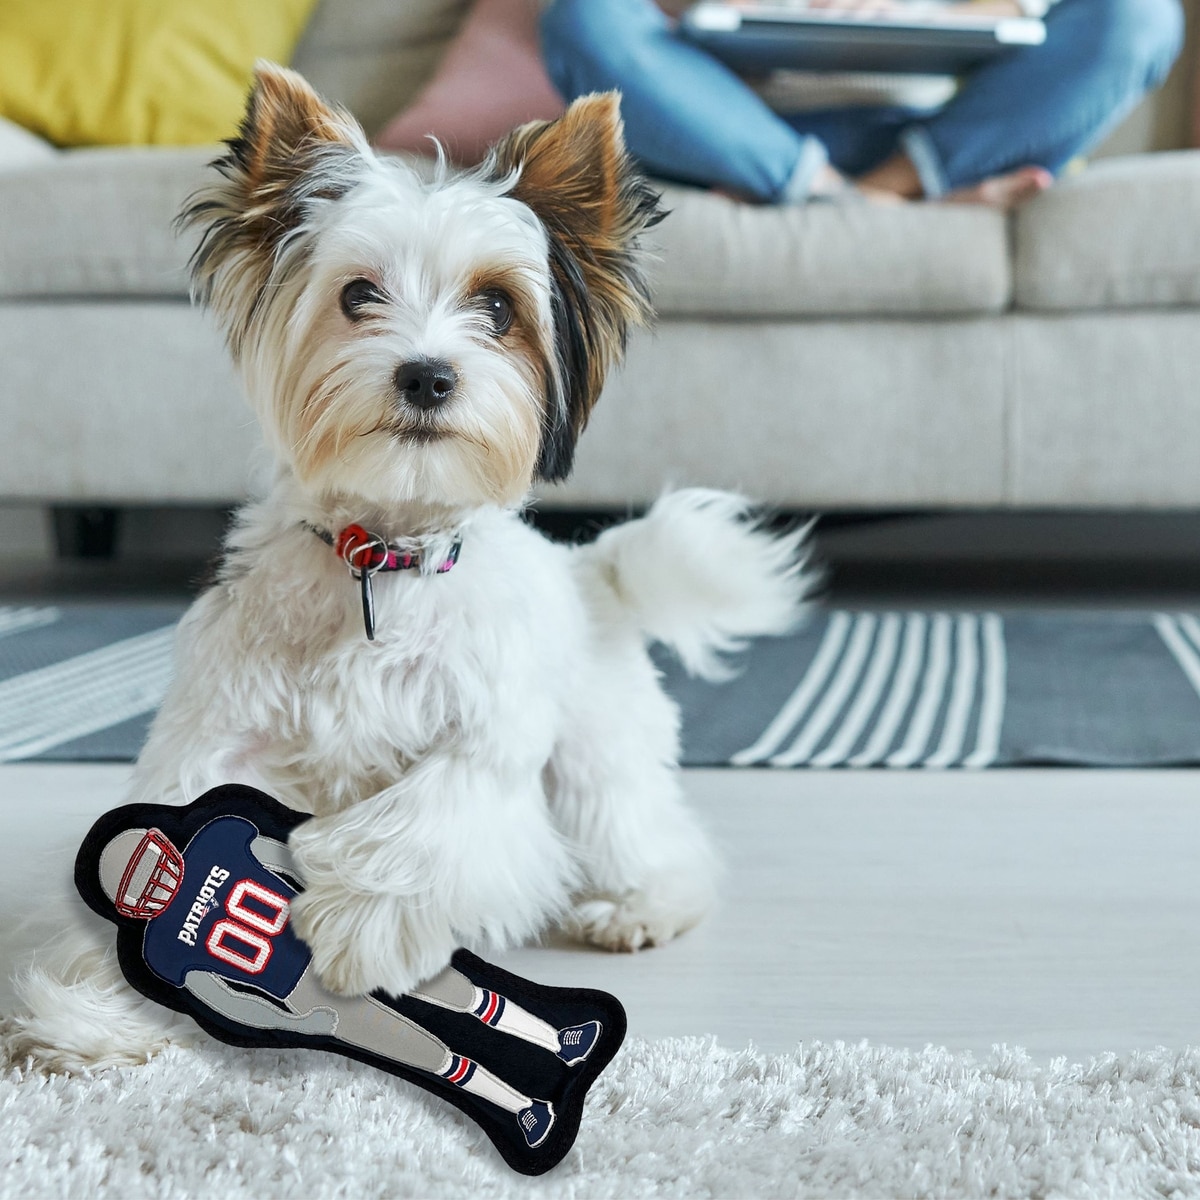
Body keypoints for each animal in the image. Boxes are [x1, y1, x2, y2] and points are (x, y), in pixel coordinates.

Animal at [9, 64, 810, 1072]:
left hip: (594, 767)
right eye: (358, 295)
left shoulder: (488, 744)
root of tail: (589, 575)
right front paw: (102, 1009)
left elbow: (433, 812)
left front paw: (356, 919)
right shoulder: (218, 735)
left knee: (656, 841)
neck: (383, 557)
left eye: (499, 308)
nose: (427, 374)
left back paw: (636, 909)